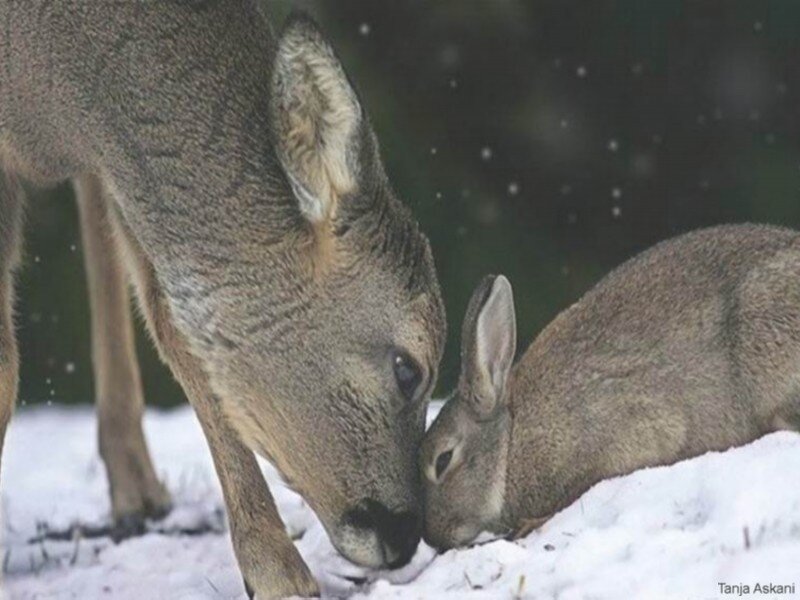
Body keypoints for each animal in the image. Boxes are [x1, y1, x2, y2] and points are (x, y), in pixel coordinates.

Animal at [0, 3, 446, 597]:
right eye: (407, 368)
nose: (404, 535)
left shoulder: (118, 168)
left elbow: (178, 330)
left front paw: (276, 572)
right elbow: (6, 362)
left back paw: (137, 489)